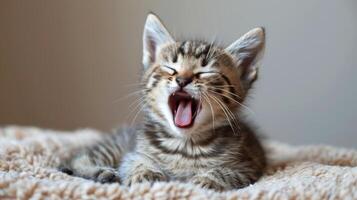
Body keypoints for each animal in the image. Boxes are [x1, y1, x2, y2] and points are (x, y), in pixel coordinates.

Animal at [61, 13, 266, 191]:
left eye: (206, 72)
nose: (182, 80)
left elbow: (227, 173)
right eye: (170, 68)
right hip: (114, 146)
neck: (184, 144)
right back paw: (102, 172)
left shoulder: (248, 165)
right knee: (76, 160)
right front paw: (146, 174)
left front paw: (206, 181)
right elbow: (135, 162)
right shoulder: (132, 153)